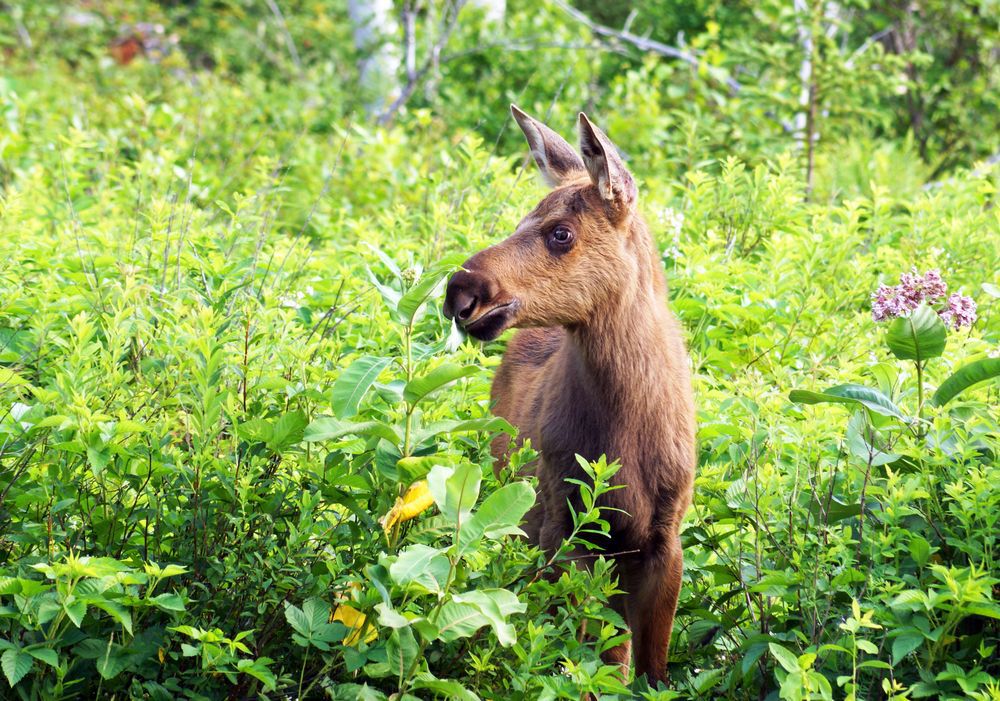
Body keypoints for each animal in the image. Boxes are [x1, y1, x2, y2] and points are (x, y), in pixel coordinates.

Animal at [442, 105, 696, 685]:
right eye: (519, 221)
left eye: (561, 233)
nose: (460, 292)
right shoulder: (566, 528)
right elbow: (583, 666)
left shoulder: (663, 540)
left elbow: (649, 669)